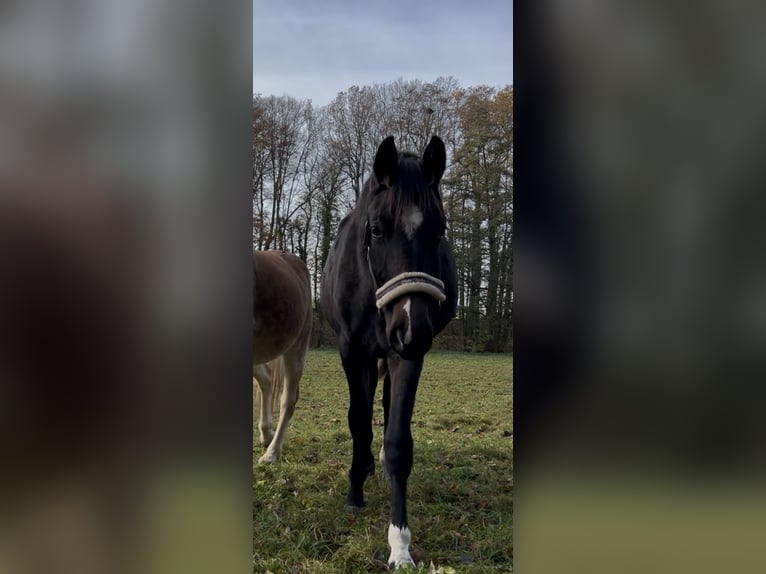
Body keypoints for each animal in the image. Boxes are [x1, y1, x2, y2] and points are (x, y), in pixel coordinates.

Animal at [320, 135, 458, 569]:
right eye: (377, 229)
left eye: (440, 229)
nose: (412, 326)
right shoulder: (352, 351)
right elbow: (357, 421)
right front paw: (354, 493)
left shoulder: (407, 355)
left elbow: (398, 440)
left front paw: (399, 544)